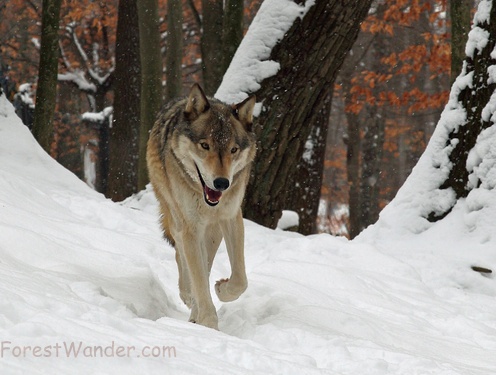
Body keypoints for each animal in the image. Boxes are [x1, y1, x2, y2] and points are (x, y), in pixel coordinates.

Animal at [146, 84, 256, 328]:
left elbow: (240, 280)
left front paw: (222, 290)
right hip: (177, 218)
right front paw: (207, 324)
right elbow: (197, 277)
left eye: (233, 150)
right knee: (182, 257)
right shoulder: (190, 227)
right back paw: (188, 296)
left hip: (212, 231)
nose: (222, 183)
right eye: (205, 146)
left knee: (204, 264)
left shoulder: (231, 217)